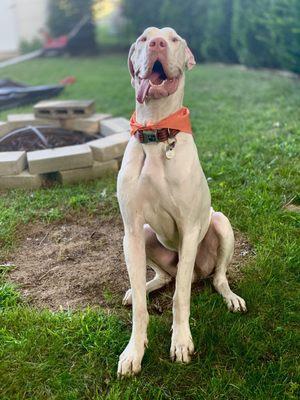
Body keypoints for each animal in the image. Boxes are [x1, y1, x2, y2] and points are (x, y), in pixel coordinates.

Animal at [116, 26, 245, 376]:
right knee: (163, 278)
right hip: (147, 236)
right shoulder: (132, 230)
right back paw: (140, 288)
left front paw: (181, 342)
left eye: (173, 39)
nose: (157, 43)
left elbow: (180, 297)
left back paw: (230, 297)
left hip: (220, 224)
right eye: (144, 39)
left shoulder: (189, 229)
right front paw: (134, 351)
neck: (156, 133)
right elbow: (143, 308)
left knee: (215, 277)